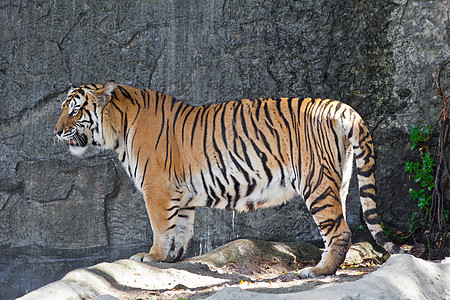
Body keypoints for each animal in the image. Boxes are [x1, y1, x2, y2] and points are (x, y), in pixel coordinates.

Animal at [54, 81, 424, 278]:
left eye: (74, 109)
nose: (56, 131)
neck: (118, 127)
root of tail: (343, 108)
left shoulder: (156, 188)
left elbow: (161, 226)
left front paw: (152, 256)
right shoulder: (181, 193)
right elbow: (181, 228)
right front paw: (174, 258)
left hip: (316, 181)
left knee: (340, 231)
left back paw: (318, 272)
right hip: (340, 179)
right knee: (343, 224)